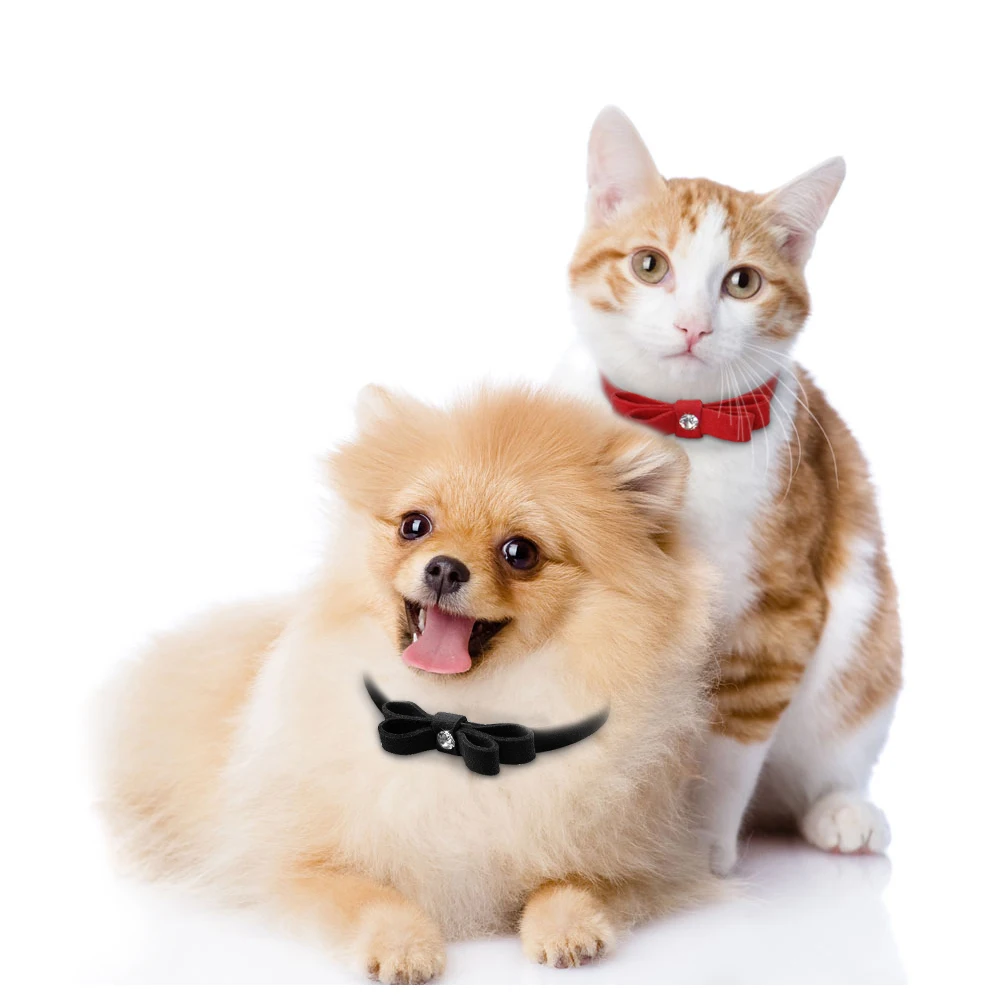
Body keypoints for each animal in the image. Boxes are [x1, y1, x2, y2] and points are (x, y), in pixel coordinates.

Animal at [554, 106, 901, 875]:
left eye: (742, 282)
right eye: (650, 265)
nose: (694, 325)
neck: (683, 430)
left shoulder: (782, 611)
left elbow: (728, 746)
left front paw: (701, 845)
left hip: (864, 637)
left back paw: (842, 811)